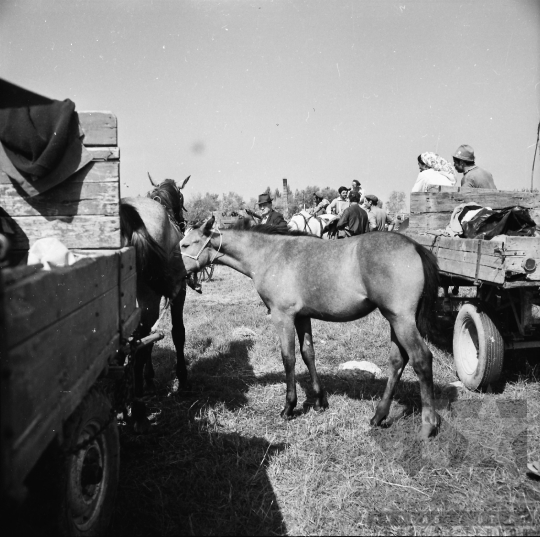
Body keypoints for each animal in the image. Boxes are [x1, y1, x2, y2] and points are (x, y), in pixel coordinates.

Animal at [179, 216, 440, 438]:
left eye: (186, 244)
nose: (177, 272)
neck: (270, 254)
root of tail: (415, 246)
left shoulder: (283, 316)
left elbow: (289, 358)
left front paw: (289, 407)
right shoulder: (303, 317)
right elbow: (308, 354)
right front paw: (320, 401)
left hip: (401, 319)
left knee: (421, 359)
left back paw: (428, 426)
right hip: (395, 320)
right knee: (398, 361)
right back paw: (379, 416)